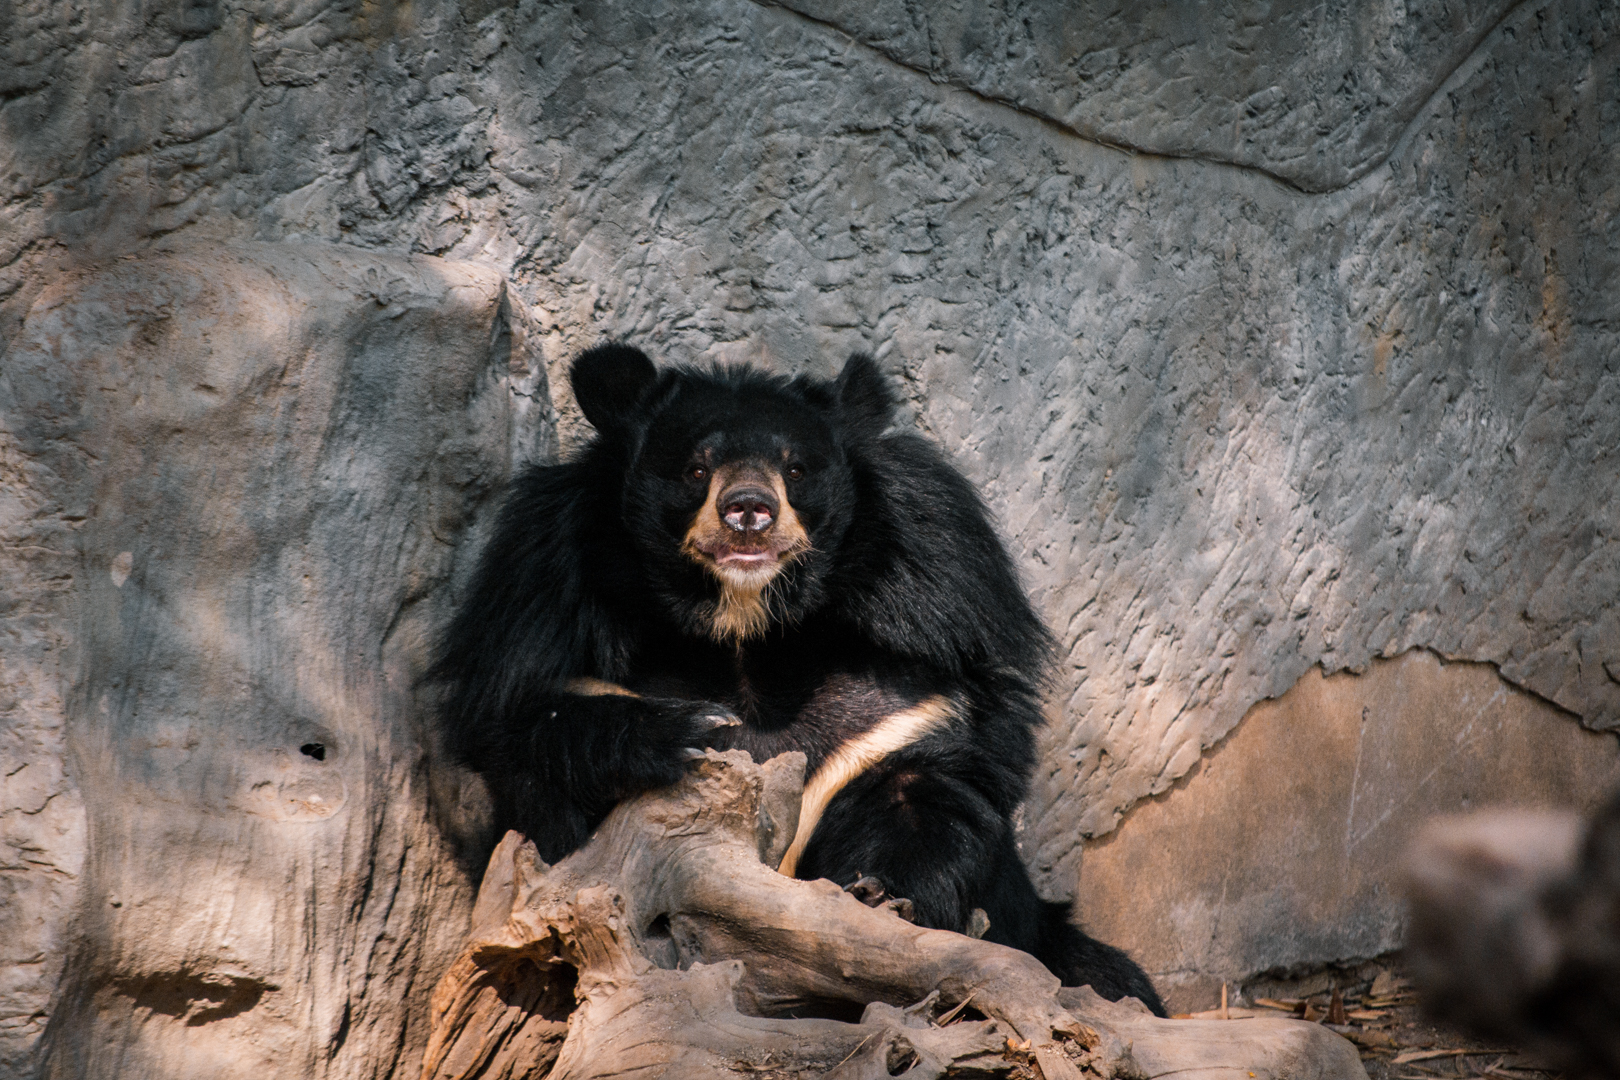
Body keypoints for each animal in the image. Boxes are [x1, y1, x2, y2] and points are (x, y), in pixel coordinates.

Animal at [433, 343, 1165, 1015]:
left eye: (795, 468)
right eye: (697, 466)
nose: (748, 509)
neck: (745, 631)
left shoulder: (926, 651)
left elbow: (932, 790)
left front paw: (883, 899)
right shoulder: (543, 587)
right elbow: (527, 733)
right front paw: (689, 730)